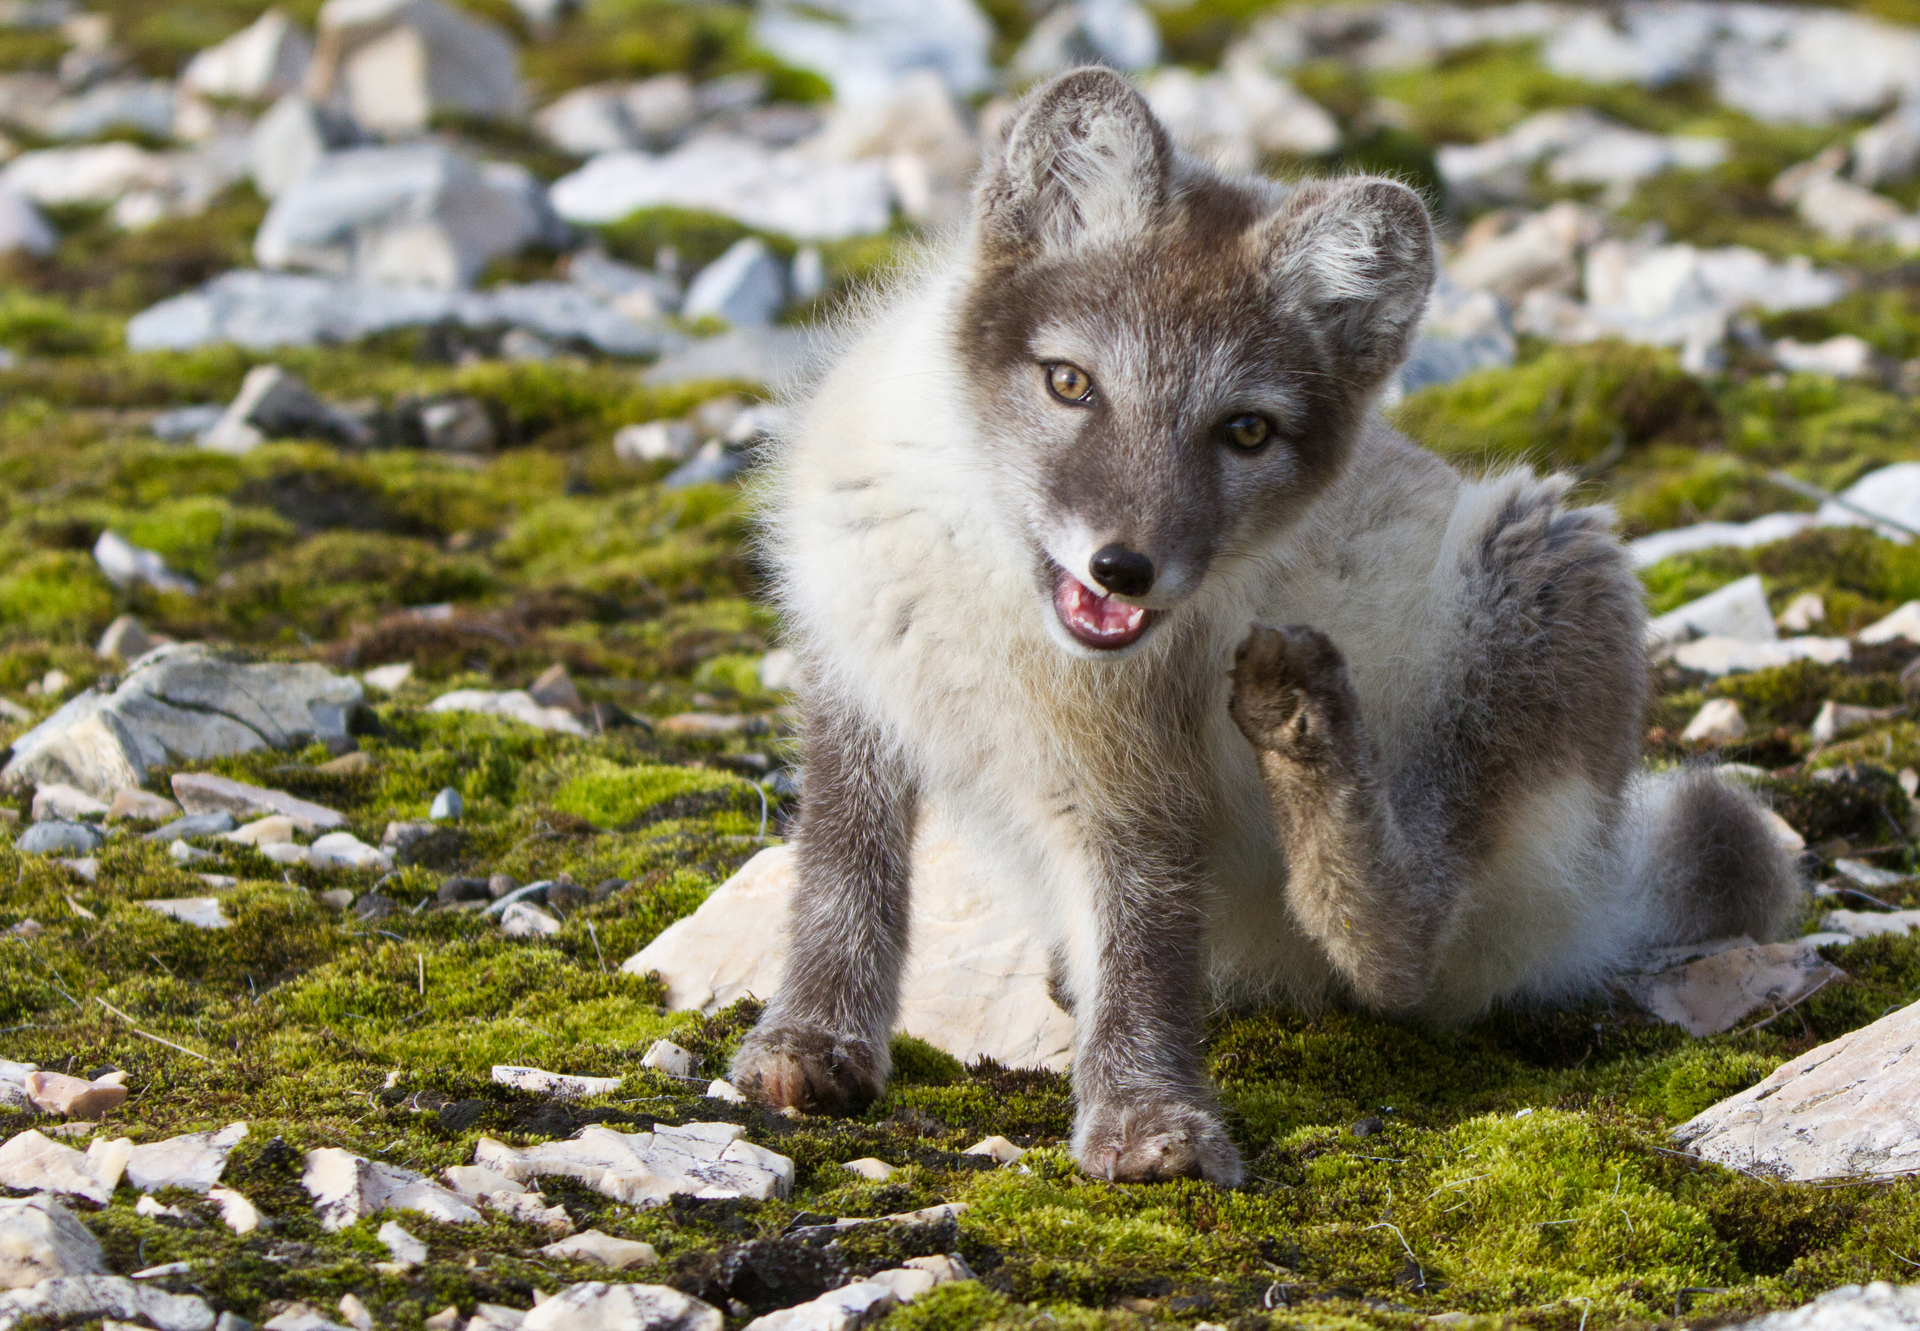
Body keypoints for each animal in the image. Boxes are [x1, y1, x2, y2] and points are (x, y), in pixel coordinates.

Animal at [728, 66, 1801, 1185]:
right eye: (1070, 381)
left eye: (1245, 431)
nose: (1125, 566)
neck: (987, 591)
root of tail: (1598, 884)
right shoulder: (856, 682)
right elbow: (843, 878)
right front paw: (811, 1041)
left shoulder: (1141, 774)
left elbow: (1145, 938)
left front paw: (1145, 1114)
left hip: (1545, 558)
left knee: (1405, 953)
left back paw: (1307, 729)